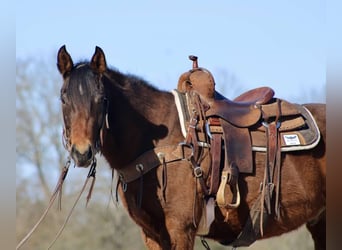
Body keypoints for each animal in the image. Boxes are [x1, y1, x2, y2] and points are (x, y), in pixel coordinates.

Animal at [56, 45, 326, 250]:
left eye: (101, 99)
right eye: (63, 98)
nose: (82, 152)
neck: (158, 143)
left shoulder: (180, 228)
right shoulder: (152, 234)